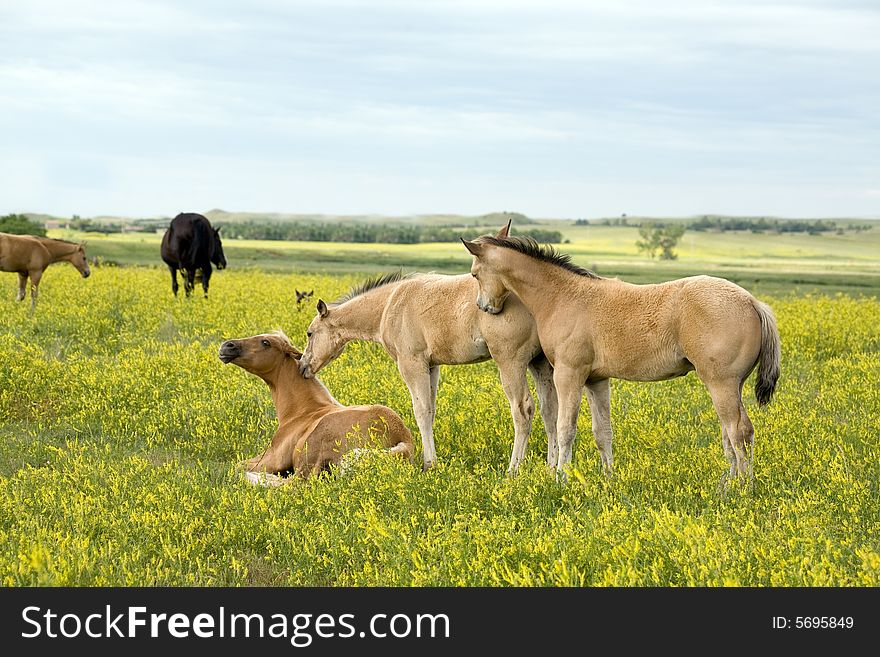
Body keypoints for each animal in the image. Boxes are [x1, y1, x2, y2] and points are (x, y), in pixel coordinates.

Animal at [218, 330, 414, 480]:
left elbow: (237, 465)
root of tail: (402, 437)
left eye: (265, 342)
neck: (303, 411)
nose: (227, 346)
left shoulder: (272, 457)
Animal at [300, 223, 556, 474]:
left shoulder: (411, 364)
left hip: (510, 363)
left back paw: (514, 470)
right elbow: (431, 411)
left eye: (310, 333)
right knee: (550, 410)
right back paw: (552, 468)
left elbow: (421, 411)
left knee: (523, 410)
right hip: (539, 363)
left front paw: (428, 464)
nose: (303, 366)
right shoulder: (432, 366)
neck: (389, 305)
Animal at [464, 233, 780, 480]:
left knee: (738, 431)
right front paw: (609, 478)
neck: (563, 297)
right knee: (734, 434)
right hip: (731, 387)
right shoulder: (596, 380)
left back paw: (740, 488)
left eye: (475, 273)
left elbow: (566, 428)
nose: (485, 307)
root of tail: (752, 302)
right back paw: (732, 484)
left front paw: (561, 478)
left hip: (721, 385)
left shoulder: (569, 374)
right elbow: (603, 431)